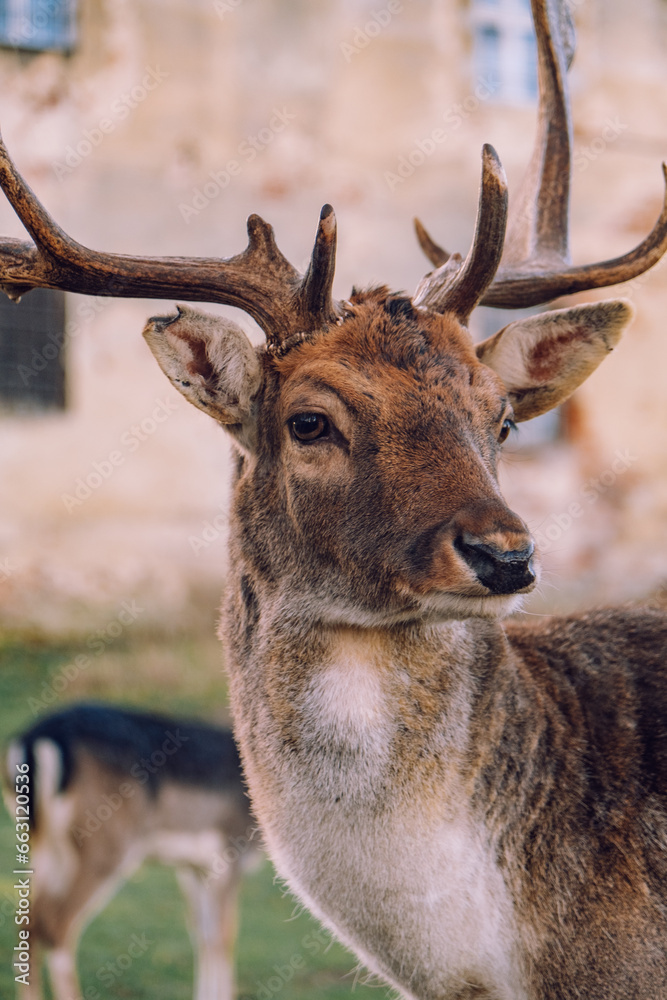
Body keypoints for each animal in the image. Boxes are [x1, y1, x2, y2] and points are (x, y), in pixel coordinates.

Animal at [3, 704, 259, 1000]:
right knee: (57, 923)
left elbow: (203, 935)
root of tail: (35, 739)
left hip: (43, 846)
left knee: (29, 922)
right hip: (105, 846)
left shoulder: (194, 867)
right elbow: (225, 935)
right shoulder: (230, 852)